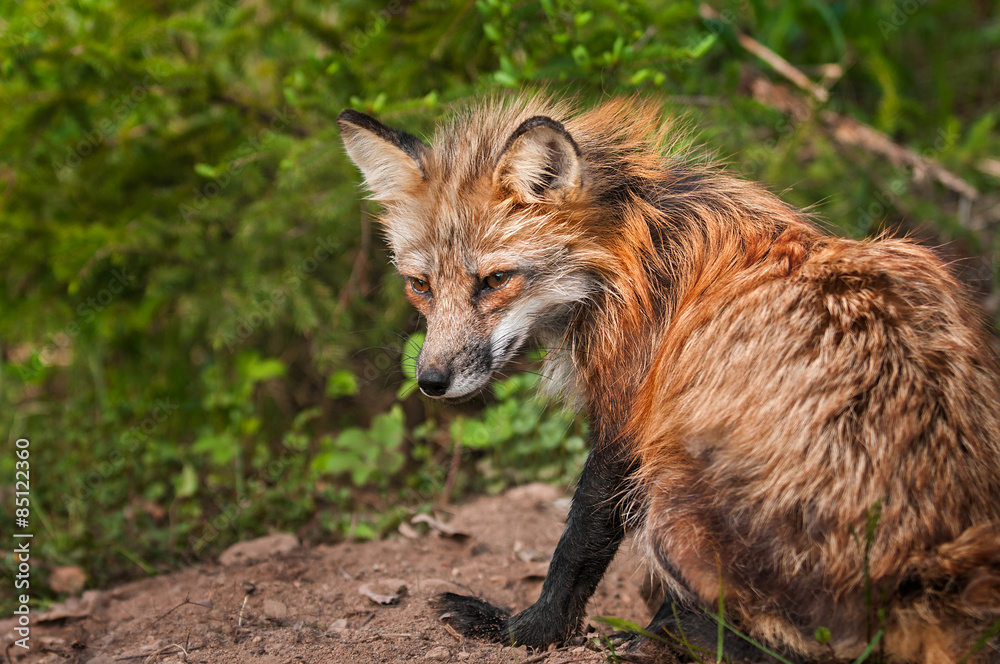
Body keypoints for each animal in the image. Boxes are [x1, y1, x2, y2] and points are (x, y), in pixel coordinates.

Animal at [337, 95, 1000, 663]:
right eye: (420, 285)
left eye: (495, 280)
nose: (431, 380)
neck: (627, 252)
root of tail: (925, 570)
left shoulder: (629, 419)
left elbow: (576, 545)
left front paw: (528, 630)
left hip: (671, 506)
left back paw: (665, 635)